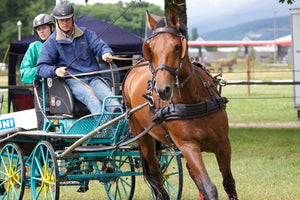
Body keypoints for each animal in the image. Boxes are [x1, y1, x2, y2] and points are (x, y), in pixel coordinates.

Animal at [123, 11, 238, 200]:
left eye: (177, 46)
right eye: (151, 49)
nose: (162, 89)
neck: (193, 101)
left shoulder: (223, 144)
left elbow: (228, 183)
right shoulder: (188, 146)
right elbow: (209, 187)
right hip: (143, 137)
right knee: (156, 176)